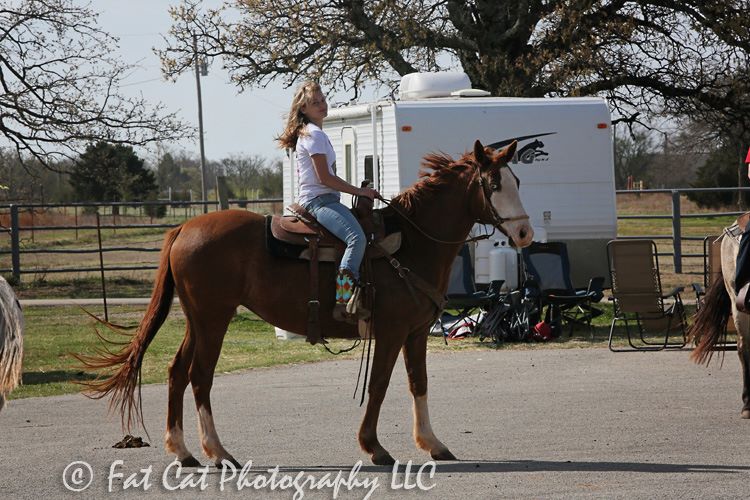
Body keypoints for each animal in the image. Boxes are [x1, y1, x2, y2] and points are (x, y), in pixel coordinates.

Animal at [83, 140, 536, 464]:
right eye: (494, 185)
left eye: (518, 181)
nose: (525, 233)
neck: (410, 243)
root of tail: (184, 228)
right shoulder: (390, 333)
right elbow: (379, 385)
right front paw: (374, 447)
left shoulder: (416, 332)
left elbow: (417, 383)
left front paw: (432, 443)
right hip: (214, 318)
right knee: (200, 376)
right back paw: (218, 452)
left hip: (198, 319)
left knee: (177, 372)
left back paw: (183, 451)